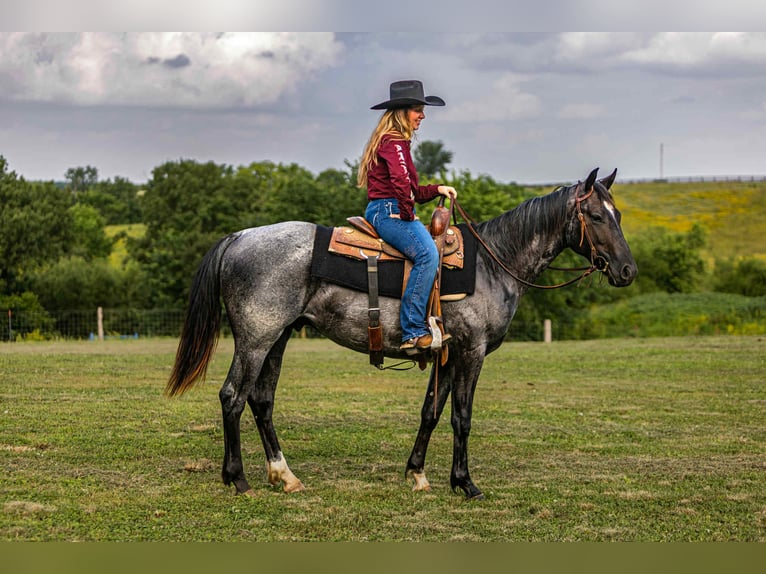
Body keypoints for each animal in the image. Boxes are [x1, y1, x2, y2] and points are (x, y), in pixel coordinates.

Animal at [165, 167, 637, 500]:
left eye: (618, 214)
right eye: (596, 215)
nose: (628, 270)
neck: (493, 261)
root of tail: (239, 237)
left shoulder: (448, 354)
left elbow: (431, 412)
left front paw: (418, 474)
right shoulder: (472, 352)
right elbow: (462, 417)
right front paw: (466, 483)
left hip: (278, 338)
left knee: (261, 401)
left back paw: (285, 476)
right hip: (256, 338)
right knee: (233, 396)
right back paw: (238, 479)